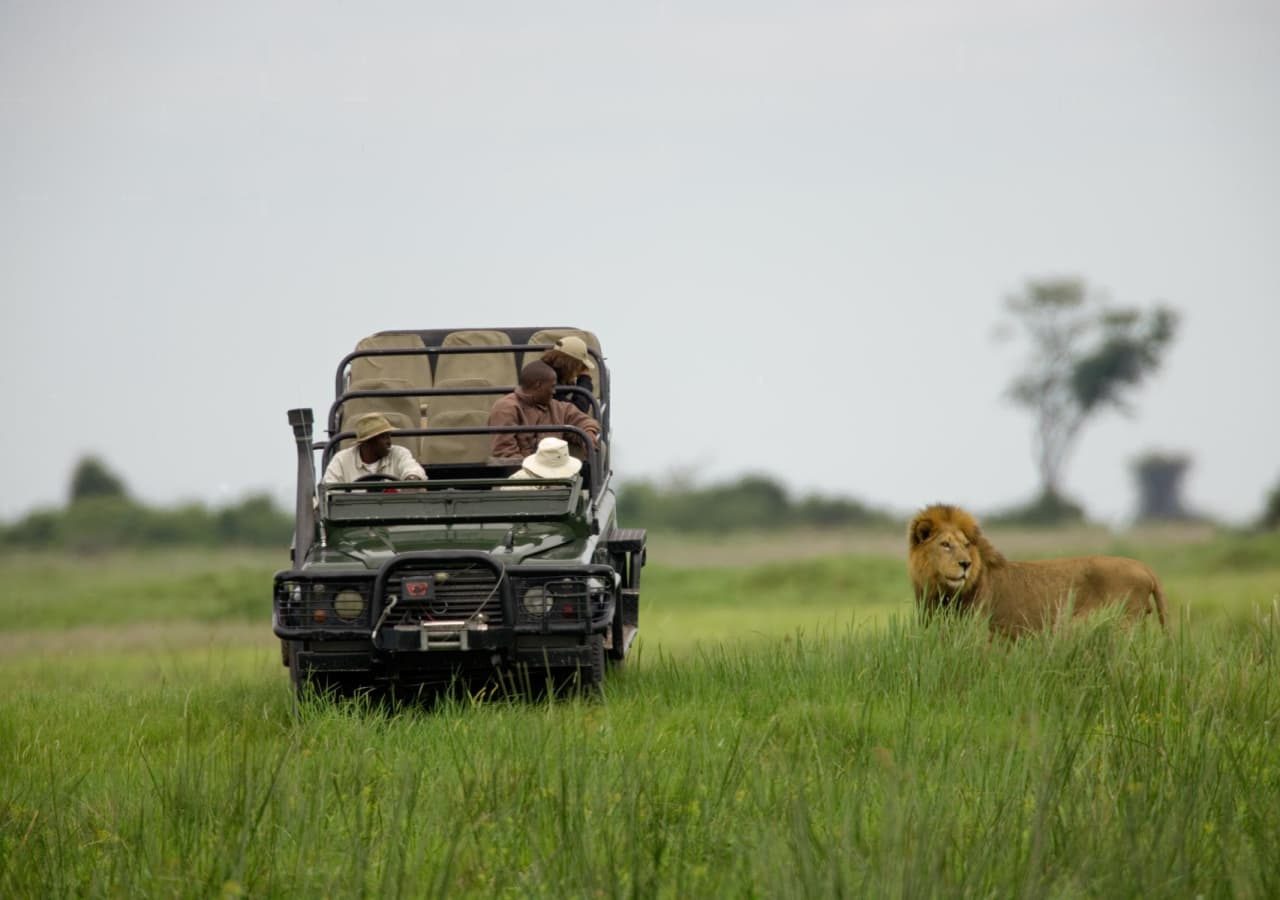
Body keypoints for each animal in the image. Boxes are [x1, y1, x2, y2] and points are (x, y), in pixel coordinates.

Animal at [906, 504, 1167, 637]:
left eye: (966, 545)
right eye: (945, 544)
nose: (965, 564)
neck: (942, 593)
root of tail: (1144, 567)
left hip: (1122, 625)